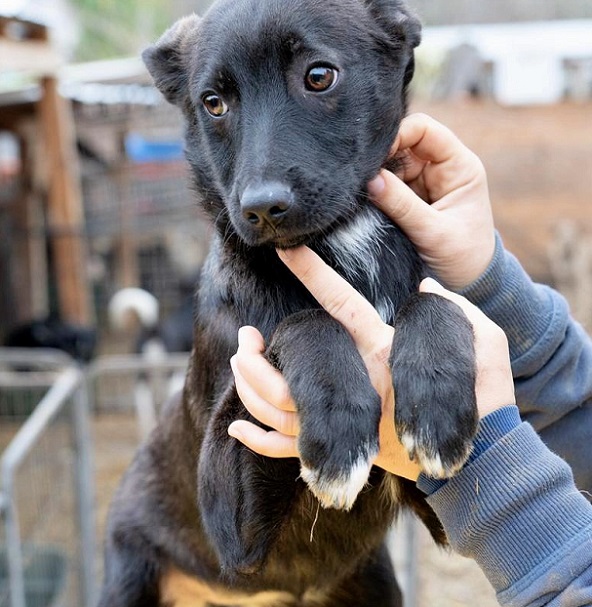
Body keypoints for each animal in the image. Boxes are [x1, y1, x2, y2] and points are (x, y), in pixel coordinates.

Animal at [99, 1, 478, 607]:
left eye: (319, 76)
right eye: (214, 103)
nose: (262, 208)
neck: (339, 241)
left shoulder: (439, 512)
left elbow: (436, 303)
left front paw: (437, 401)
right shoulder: (230, 525)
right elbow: (305, 319)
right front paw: (338, 421)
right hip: (130, 570)